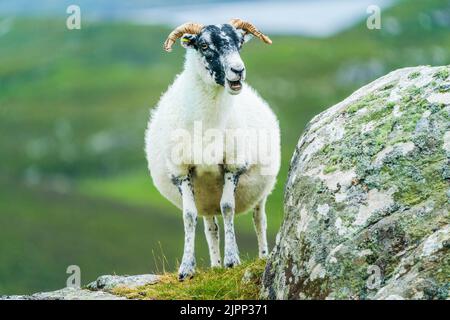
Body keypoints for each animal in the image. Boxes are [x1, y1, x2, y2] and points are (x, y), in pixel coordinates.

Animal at [146, 19, 280, 280]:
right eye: (205, 45)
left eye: (239, 43)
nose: (238, 70)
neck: (207, 124)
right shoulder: (181, 171)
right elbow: (189, 217)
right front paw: (186, 269)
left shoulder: (233, 165)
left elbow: (228, 208)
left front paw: (232, 260)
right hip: (205, 197)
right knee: (210, 227)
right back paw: (215, 265)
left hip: (261, 190)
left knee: (259, 220)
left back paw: (262, 257)